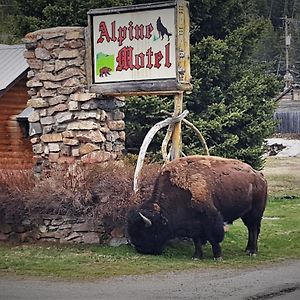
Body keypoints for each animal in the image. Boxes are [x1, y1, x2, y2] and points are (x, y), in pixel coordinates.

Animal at [126, 156, 268, 258]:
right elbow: (197, 240)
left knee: (253, 229)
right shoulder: (194, 224)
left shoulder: (210, 219)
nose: (140, 249)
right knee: (251, 229)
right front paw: (197, 256)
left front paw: (217, 256)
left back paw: (252, 252)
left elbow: (213, 238)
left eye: (145, 232)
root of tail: (259, 176)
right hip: (246, 214)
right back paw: (248, 249)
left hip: (255, 213)